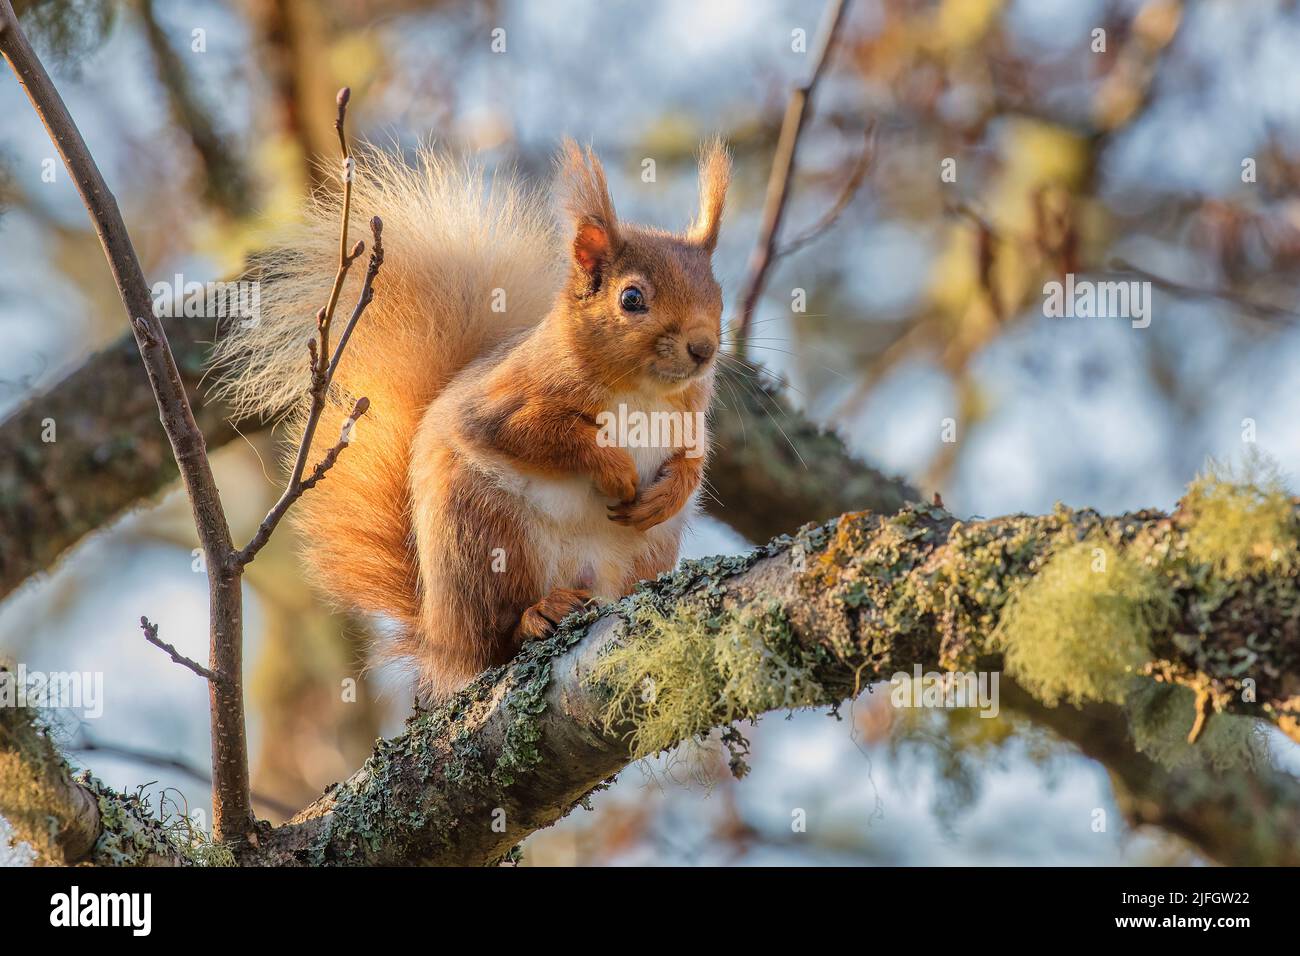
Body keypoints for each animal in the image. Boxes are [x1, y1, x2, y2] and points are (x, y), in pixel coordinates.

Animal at [210, 140, 733, 697]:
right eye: (631, 298)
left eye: (719, 295)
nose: (703, 348)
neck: (645, 391)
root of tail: (439, 638)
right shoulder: (503, 401)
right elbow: (534, 435)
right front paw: (612, 468)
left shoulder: (689, 423)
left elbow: (693, 462)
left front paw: (667, 493)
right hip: (484, 536)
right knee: (494, 641)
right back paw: (537, 615)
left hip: (642, 554)